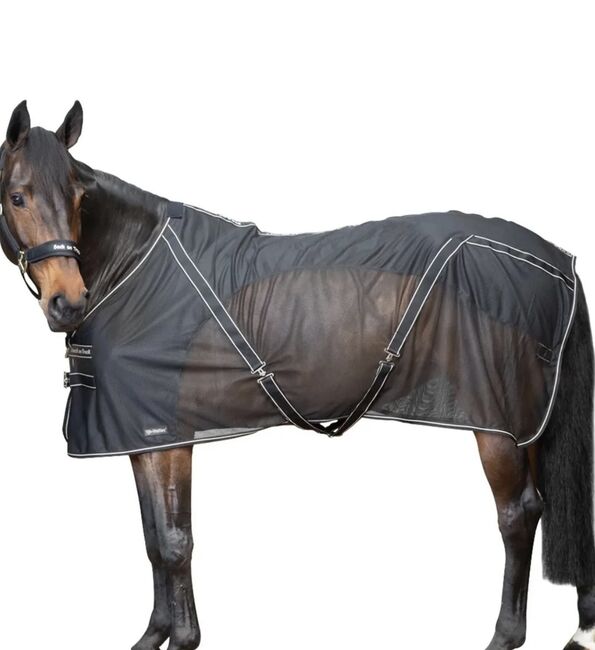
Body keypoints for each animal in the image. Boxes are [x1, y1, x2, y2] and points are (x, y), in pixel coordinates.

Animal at [1, 99, 594, 650]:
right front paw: (153, 635)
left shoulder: (169, 438)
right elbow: (153, 541)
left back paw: (506, 635)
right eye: (17, 196)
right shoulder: (143, 439)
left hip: (497, 425)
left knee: (517, 515)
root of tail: (556, 260)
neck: (137, 266)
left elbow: (175, 541)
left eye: (79, 198)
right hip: (527, 422)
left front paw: (184, 638)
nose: (68, 303)